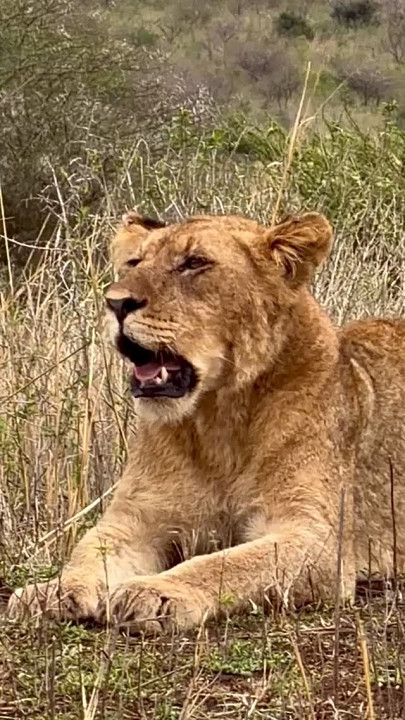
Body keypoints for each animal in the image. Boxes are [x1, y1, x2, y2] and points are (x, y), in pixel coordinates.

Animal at [7, 210, 405, 632]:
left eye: (194, 263)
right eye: (134, 262)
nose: (115, 304)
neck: (218, 421)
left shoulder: (318, 538)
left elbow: (227, 563)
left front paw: (154, 592)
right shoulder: (134, 518)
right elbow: (87, 552)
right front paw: (50, 592)